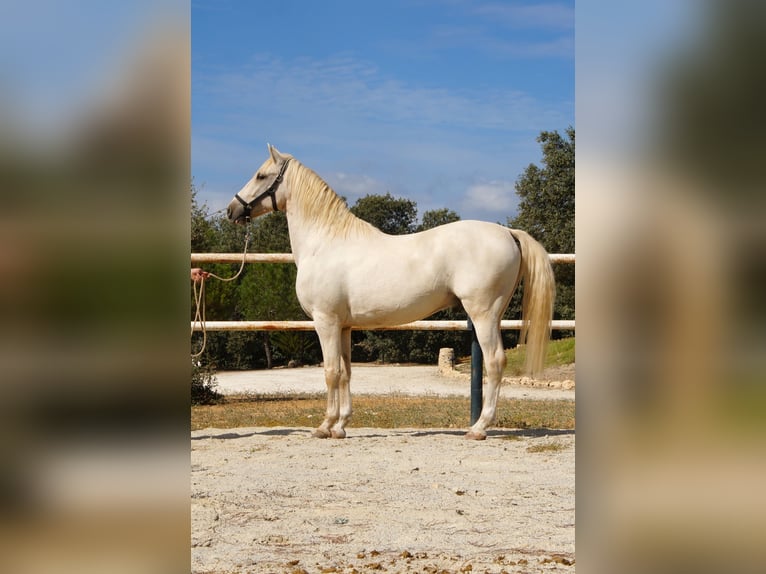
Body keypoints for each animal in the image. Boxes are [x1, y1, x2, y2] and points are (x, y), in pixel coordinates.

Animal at [225, 147, 556, 440]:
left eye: (261, 175)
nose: (231, 210)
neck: (325, 243)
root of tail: (508, 232)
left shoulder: (325, 321)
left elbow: (330, 371)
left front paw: (324, 426)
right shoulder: (344, 326)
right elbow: (346, 372)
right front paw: (340, 426)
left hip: (483, 313)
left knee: (495, 362)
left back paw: (478, 428)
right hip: (495, 314)